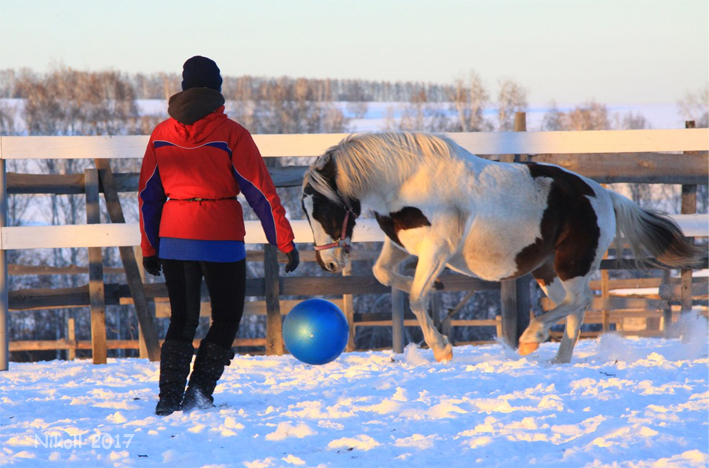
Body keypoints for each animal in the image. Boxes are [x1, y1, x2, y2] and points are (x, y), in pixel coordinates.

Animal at [300, 130, 704, 364]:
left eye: (324, 208)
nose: (329, 264)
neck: (408, 180)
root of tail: (604, 194)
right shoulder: (402, 246)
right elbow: (385, 275)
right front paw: (440, 294)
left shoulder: (437, 249)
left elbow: (415, 297)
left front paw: (442, 348)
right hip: (547, 270)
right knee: (573, 307)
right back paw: (557, 357)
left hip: (571, 263)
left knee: (580, 301)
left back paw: (530, 338)